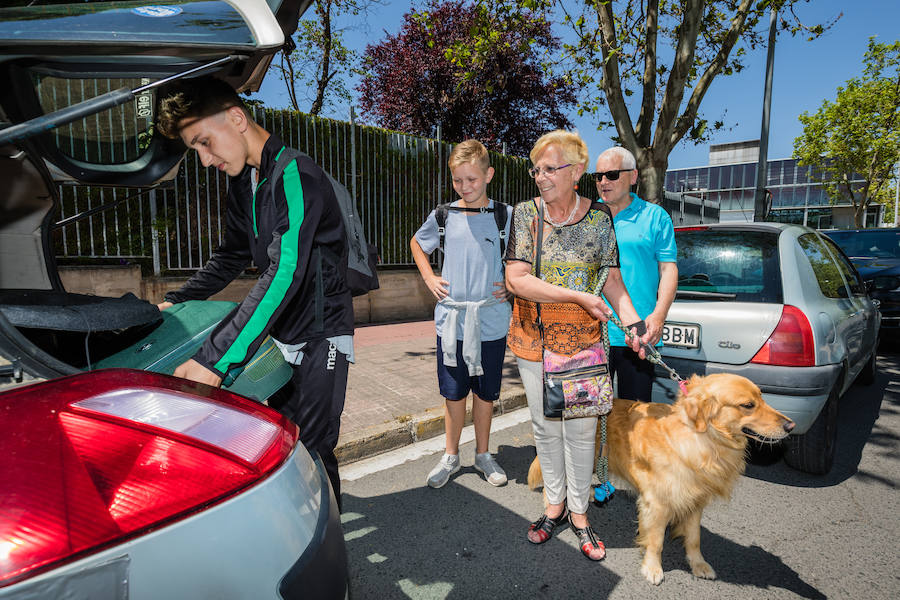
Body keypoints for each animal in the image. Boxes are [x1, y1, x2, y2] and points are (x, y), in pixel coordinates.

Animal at [528, 372, 796, 584]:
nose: (790, 426)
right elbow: (656, 540)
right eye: (747, 405)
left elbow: (694, 538)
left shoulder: (695, 501)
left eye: (762, 397)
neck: (702, 441)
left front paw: (698, 564)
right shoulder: (657, 503)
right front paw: (653, 568)